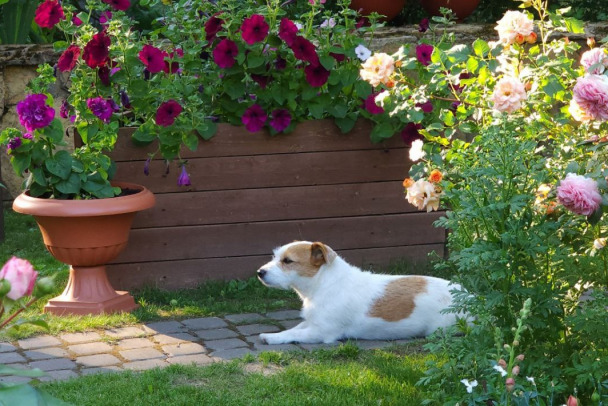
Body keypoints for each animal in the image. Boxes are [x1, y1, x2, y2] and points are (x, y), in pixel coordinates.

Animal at [256, 239, 460, 344]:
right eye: (275, 257)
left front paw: (271, 337)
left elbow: (293, 334)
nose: (260, 272)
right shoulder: (312, 323)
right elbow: (295, 328)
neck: (324, 283)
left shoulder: (321, 332)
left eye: (287, 261)